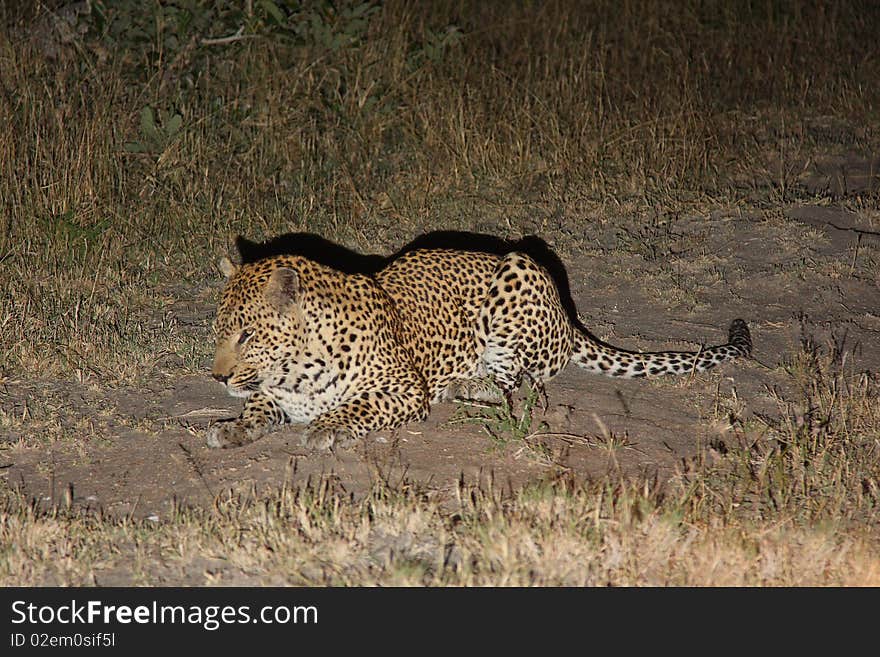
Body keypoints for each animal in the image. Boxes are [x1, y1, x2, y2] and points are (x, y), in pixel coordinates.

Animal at [206, 249, 748, 448]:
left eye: (247, 335)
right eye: (218, 331)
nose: (216, 378)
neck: (293, 371)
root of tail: (568, 316)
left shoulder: (405, 390)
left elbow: (360, 405)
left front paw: (326, 428)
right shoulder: (273, 394)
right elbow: (258, 407)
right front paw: (233, 428)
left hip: (516, 275)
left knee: (523, 390)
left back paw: (478, 390)